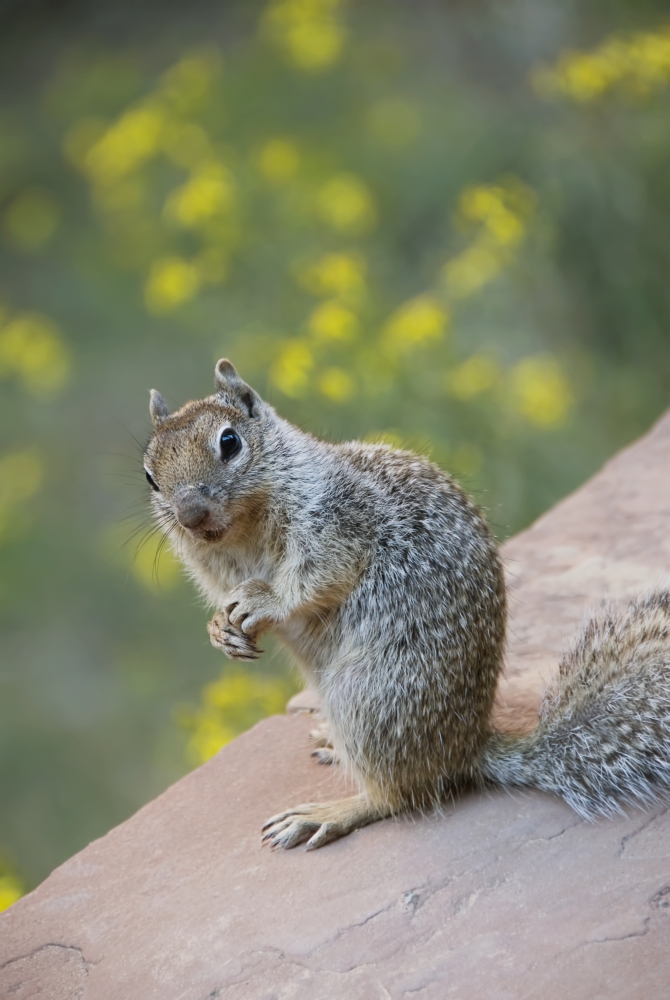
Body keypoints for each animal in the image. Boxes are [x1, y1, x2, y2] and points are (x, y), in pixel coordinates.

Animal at [143, 359, 670, 850]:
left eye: (229, 442)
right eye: (149, 476)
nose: (190, 514)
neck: (242, 533)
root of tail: (466, 750)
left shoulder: (338, 522)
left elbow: (313, 579)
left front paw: (263, 599)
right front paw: (220, 629)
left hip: (366, 697)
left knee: (397, 797)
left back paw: (327, 812)